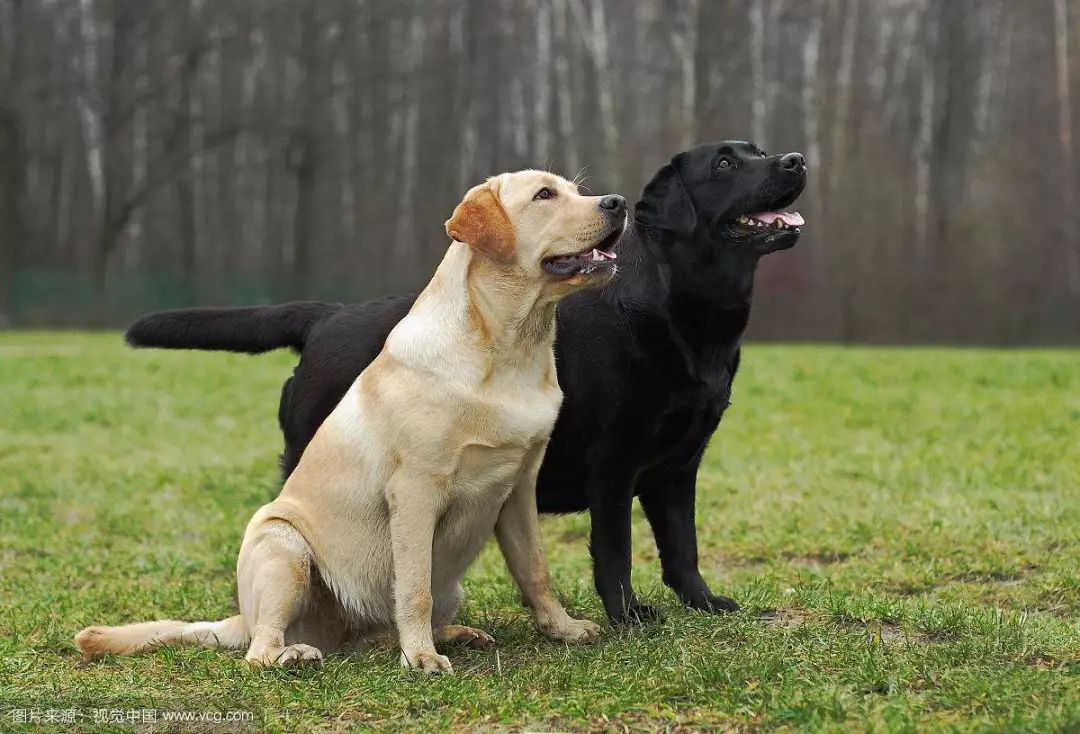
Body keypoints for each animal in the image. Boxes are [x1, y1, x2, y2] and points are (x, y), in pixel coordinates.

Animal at [126, 143, 807, 626]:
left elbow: (682, 547)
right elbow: (615, 551)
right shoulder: (613, 463)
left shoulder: (679, 464)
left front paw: (705, 604)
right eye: (725, 162)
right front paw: (630, 618)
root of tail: (323, 316)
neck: (686, 317)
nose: (797, 159)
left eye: (758, 148)